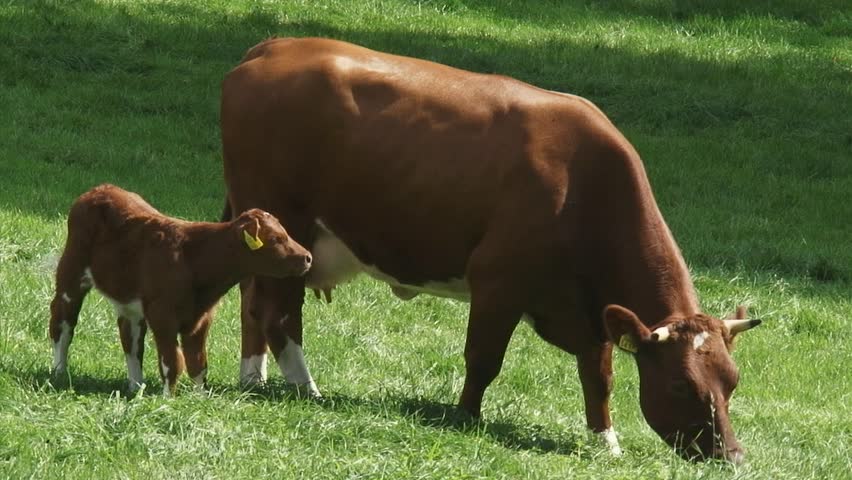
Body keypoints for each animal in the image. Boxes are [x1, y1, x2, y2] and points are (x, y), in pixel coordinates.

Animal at [49, 184, 312, 396]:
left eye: (285, 233)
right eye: (276, 239)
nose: (308, 257)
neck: (195, 258)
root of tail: (100, 189)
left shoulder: (201, 318)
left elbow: (197, 362)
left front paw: (200, 398)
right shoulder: (162, 315)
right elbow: (172, 361)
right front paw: (169, 399)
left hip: (129, 301)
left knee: (130, 337)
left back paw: (136, 386)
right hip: (71, 274)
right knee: (62, 322)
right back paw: (59, 372)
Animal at [219, 37, 761, 462]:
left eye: (732, 381)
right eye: (681, 385)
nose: (731, 456)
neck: (586, 182)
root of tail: (272, 47)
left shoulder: (590, 310)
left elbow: (599, 373)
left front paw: (604, 440)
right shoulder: (497, 280)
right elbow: (483, 357)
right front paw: (464, 416)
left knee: (251, 301)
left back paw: (254, 378)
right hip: (288, 228)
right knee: (278, 312)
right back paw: (304, 388)